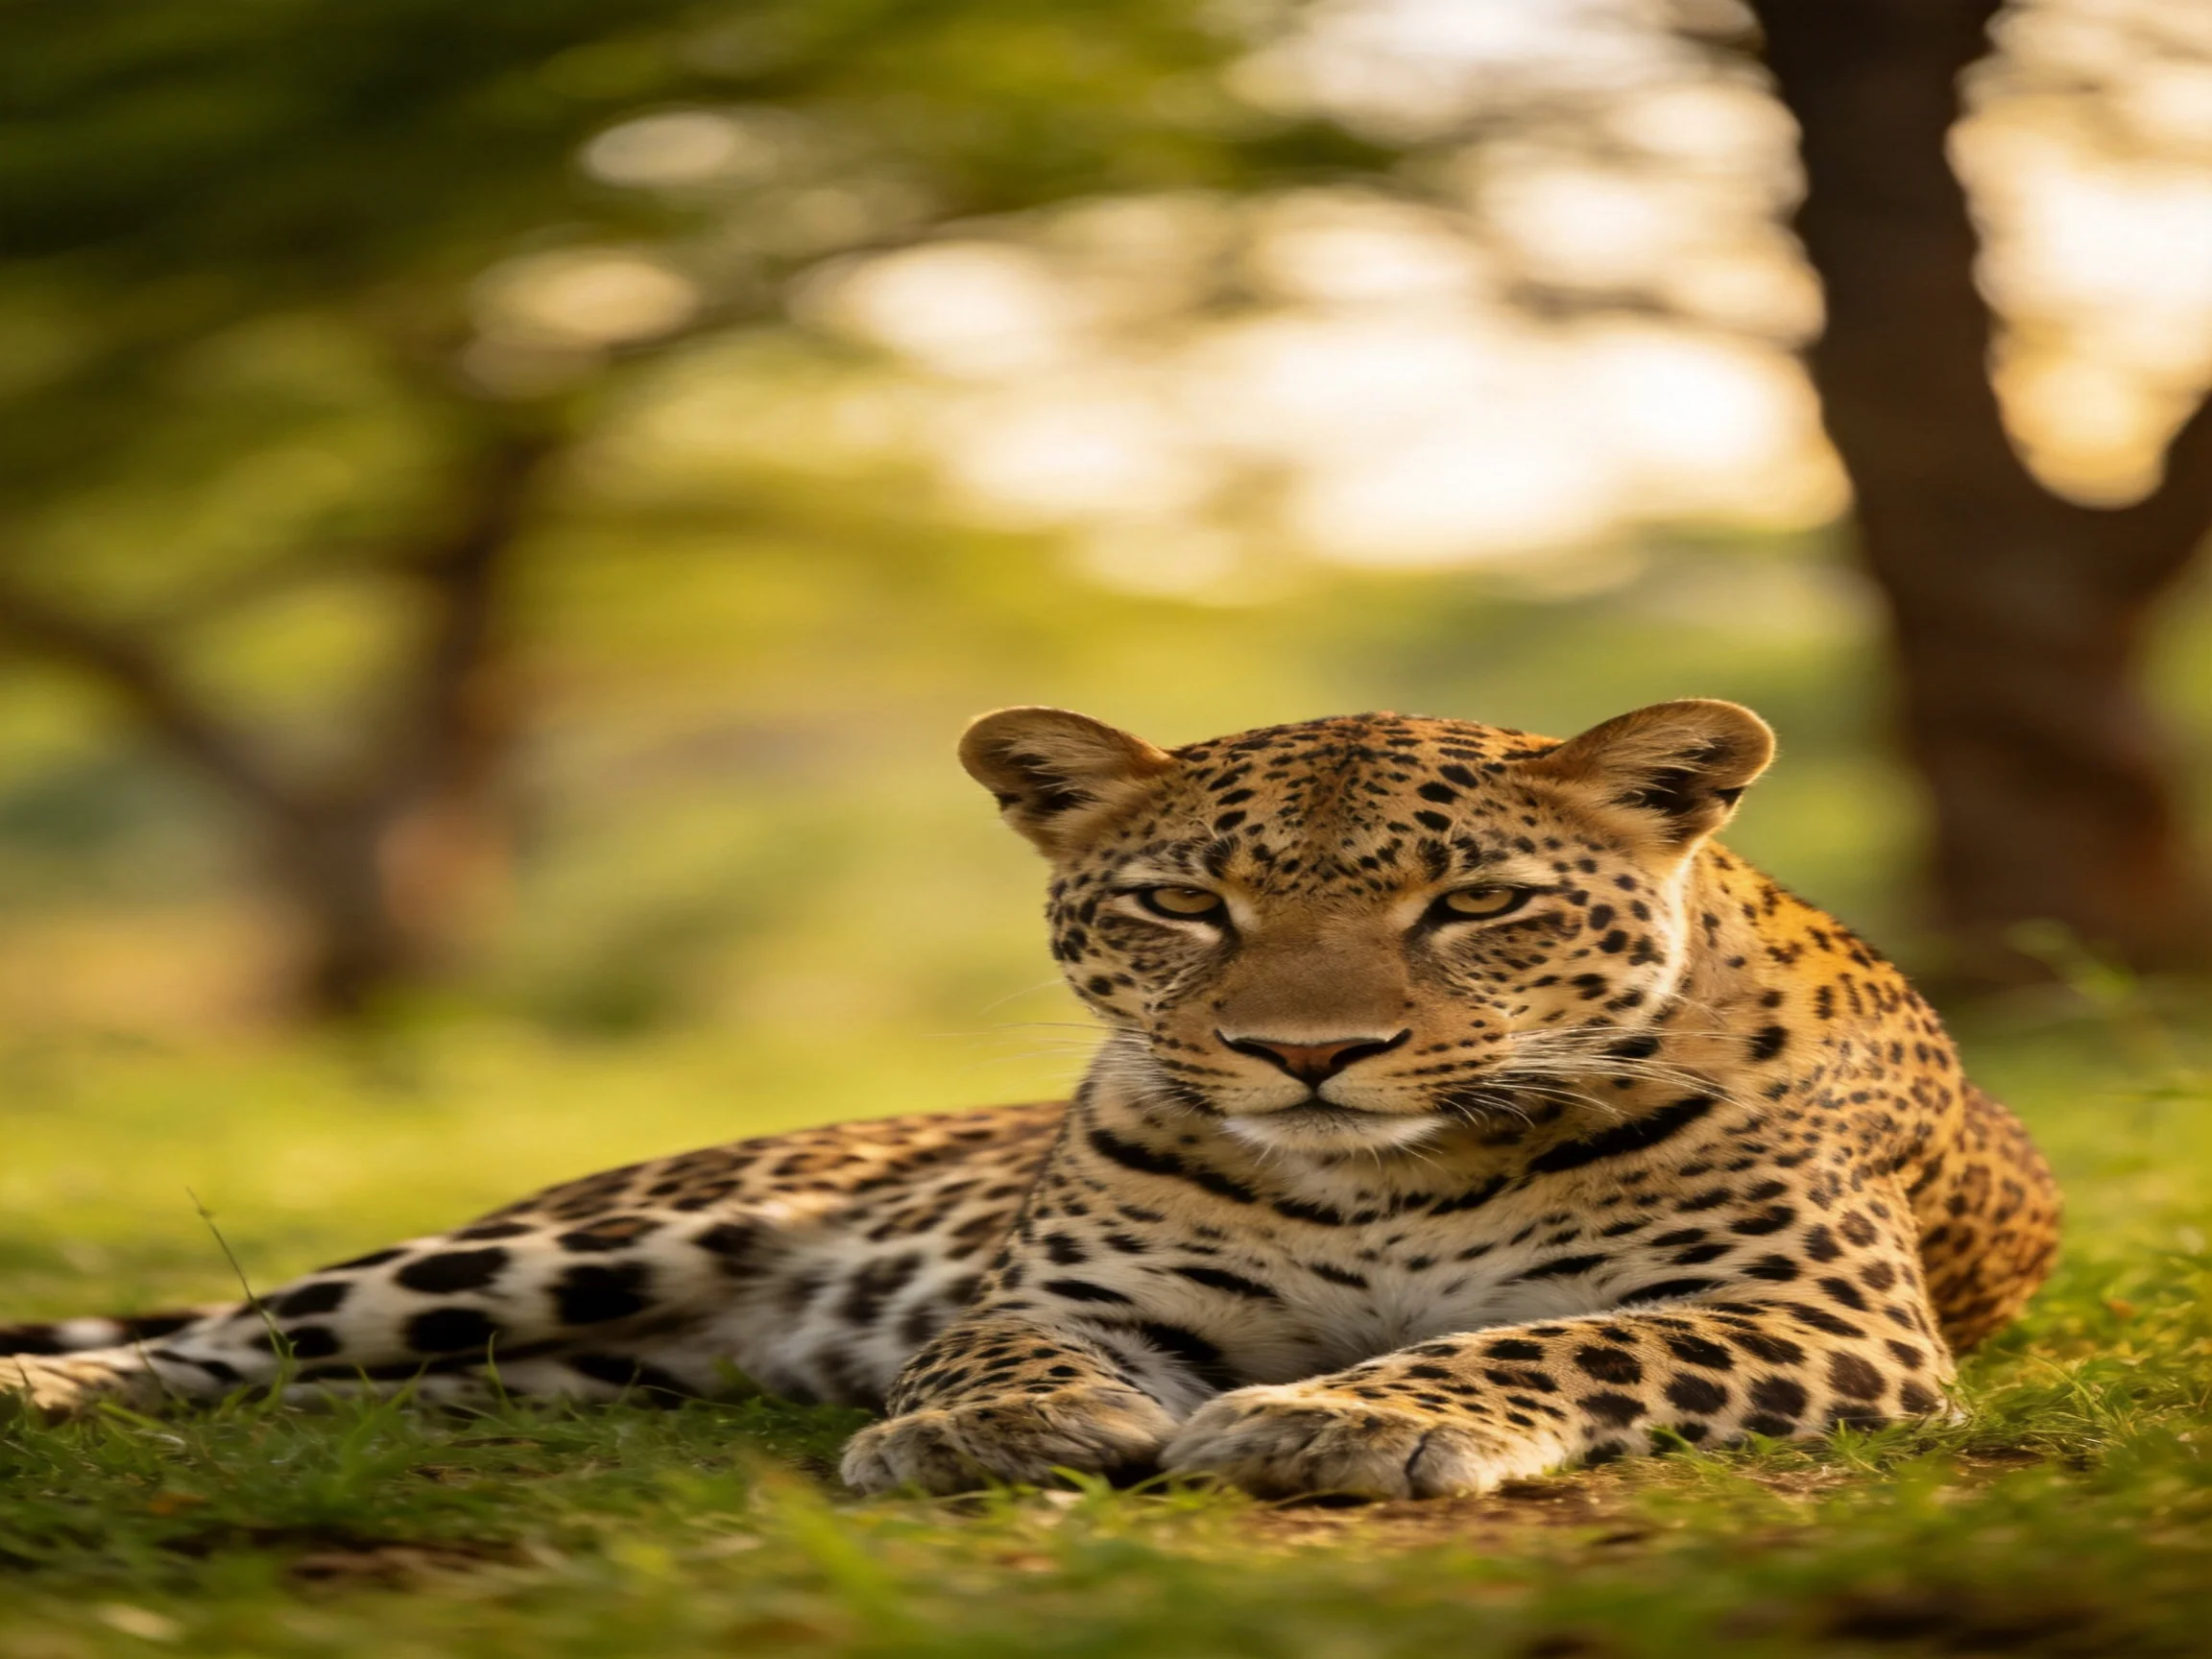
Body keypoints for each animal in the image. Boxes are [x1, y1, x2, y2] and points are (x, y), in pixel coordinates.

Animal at [1, 699, 2060, 1501]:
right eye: (1181, 903)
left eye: (1469, 904)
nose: (1307, 1054)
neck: (1383, 1181)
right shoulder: (1075, 1289)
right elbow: (998, 1340)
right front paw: (982, 1427)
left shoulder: (1809, 1310)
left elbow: (1553, 1341)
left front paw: (1348, 1414)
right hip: (585, 1240)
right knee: (224, 1332)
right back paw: (53, 1395)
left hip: (568, 1365)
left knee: (337, 1384)